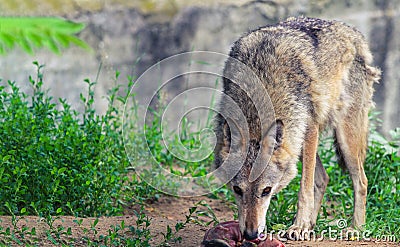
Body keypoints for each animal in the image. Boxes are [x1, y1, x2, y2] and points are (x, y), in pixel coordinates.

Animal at [214, 17, 380, 241]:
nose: (250, 234)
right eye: (237, 190)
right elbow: (312, 183)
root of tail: (352, 32)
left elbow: (304, 188)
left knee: (361, 181)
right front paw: (304, 225)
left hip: (343, 139)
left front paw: (299, 226)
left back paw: (356, 228)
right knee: (323, 179)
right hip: (296, 142)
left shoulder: (309, 129)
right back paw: (313, 224)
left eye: (266, 191)